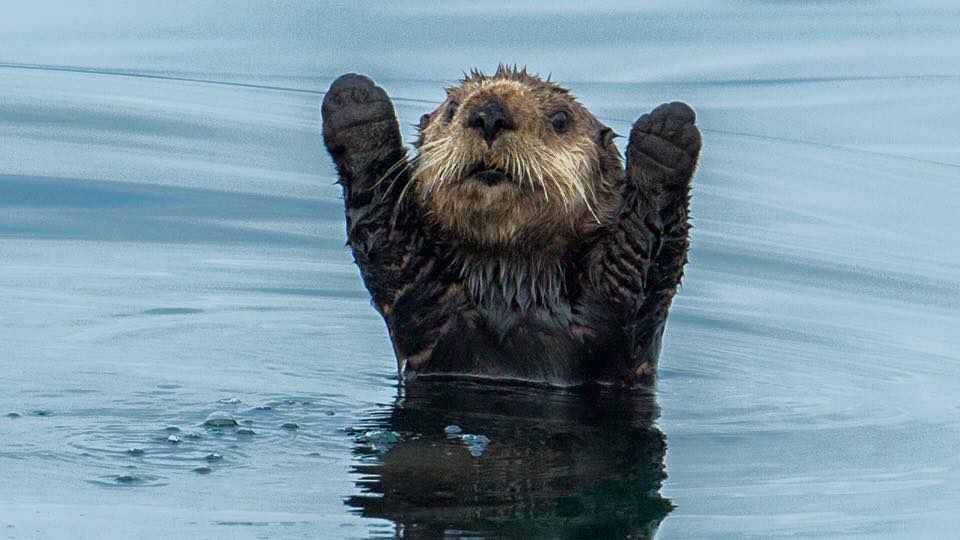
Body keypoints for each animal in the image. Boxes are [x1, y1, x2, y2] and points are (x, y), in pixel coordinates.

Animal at [318, 65, 700, 386]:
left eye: (560, 119)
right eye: (452, 109)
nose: (490, 114)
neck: (513, 288)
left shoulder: (622, 314)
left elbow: (642, 256)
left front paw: (667, 133)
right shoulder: (421, 299)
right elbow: (385, 230)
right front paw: (355, 102)